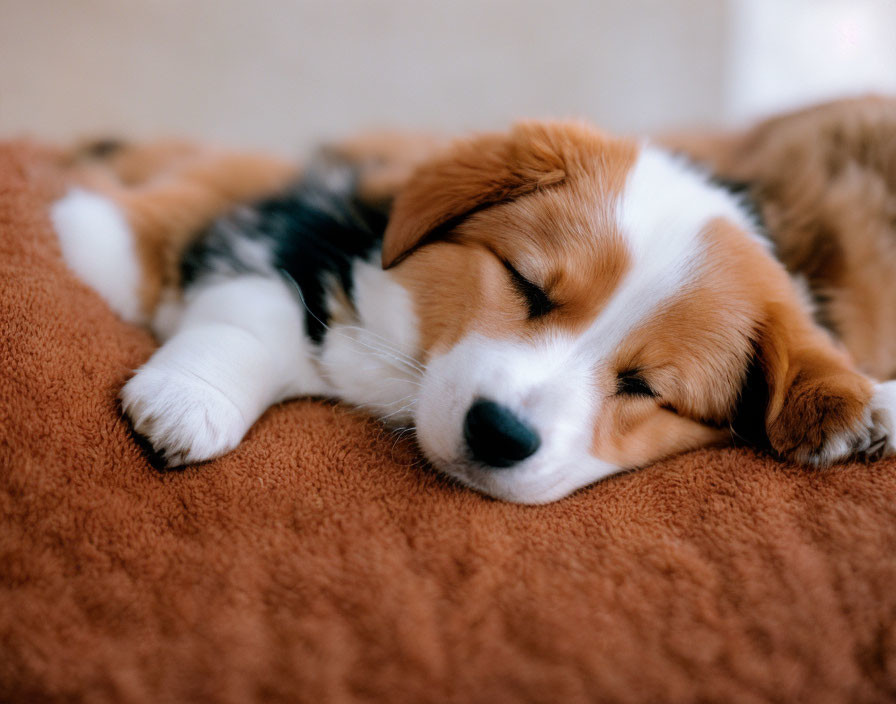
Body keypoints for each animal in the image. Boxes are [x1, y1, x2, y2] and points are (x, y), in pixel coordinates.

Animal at [52, 100, 896, 506]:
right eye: (527, 284)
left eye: (646, 388)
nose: (498, 433)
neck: (406, 370)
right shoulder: (314, 223)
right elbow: (256, 304)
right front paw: (188, 397)